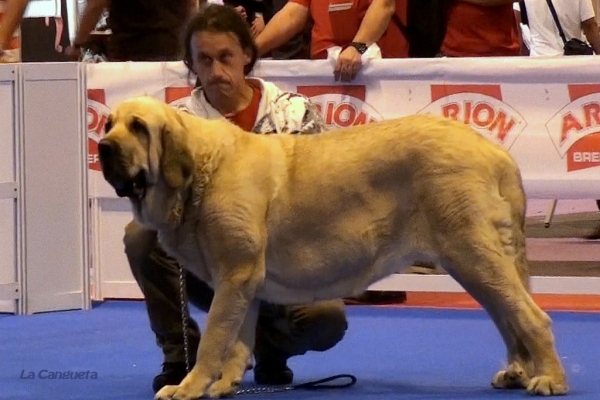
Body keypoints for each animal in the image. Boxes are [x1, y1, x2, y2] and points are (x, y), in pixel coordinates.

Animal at [98, 96, 568, 396]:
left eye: (138, 127)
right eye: (108, 124)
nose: (102, 147)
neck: (199, 170)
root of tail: (497, 155)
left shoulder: (234, 274)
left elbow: (215, 337)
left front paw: (190, 386)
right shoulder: (243, 282)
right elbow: (239, 337)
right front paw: (228, 383)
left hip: (473, 254)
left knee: (531, 317)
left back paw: (550, 379)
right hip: (473, 263)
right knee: (508, 317)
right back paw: (517, 371)